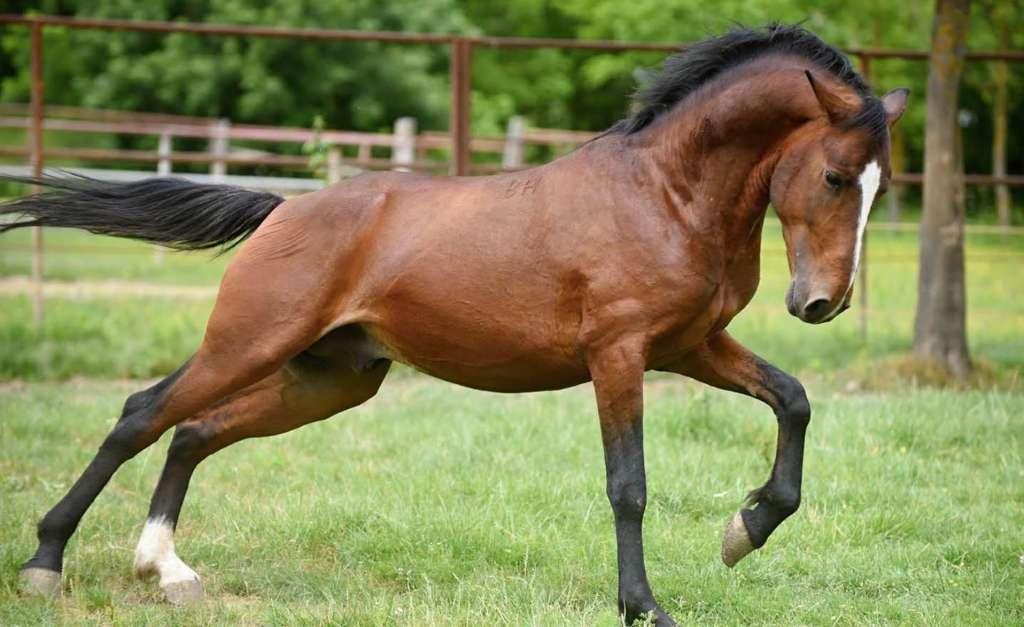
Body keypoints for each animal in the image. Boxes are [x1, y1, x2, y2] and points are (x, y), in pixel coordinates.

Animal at [4, 23, 909, 622]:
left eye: (882, 185)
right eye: (835, 176)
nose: (821, 302)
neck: (665, 194)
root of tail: (282, 208)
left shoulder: (690, 346)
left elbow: (793, 399)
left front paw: (744, 529)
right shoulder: (620, 354)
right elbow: (629, 485)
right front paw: (643, 604)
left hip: (328, 378)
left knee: (192, 431)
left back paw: (167, 570)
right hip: (250, 340)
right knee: (142, 414)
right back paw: (46, 563)